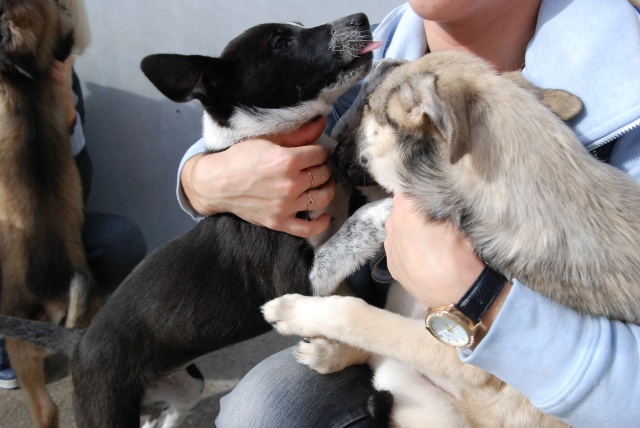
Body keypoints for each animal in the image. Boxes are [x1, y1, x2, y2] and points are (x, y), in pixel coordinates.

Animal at [0, 13, 377, 427]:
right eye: (281, 43)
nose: (360, 18)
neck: (274, 139)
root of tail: (80, 341)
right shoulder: (294, 282)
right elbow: (351, 232)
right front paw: (385, 212)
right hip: (105, 406)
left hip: (185, 382)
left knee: (171, 410)